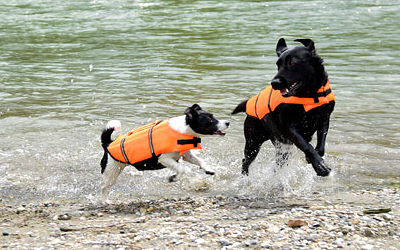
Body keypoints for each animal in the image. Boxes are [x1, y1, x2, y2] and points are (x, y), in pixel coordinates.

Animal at [100, 103, 230, 203]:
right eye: (210, 119)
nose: (228, 122)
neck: (182, 130)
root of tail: (108, 144)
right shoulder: (164, 159)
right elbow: (182, 169)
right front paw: (173, 178)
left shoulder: (186, 155)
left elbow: (200, 161)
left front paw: (209, 169)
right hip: (111, 171)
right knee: (104, 187)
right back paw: (105, 201)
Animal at [233, 38, 336, 177]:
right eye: (278, 64)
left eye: (292, 63)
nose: (274, 83)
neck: (310, 93)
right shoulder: (288, 127)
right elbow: (306, 145)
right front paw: (320, 166)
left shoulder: (324, 118)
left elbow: (320, 145)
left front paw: (315, 158)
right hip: (253, 142)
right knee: (246, 160)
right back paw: (245, 176)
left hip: (280, 147)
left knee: (278, 163)